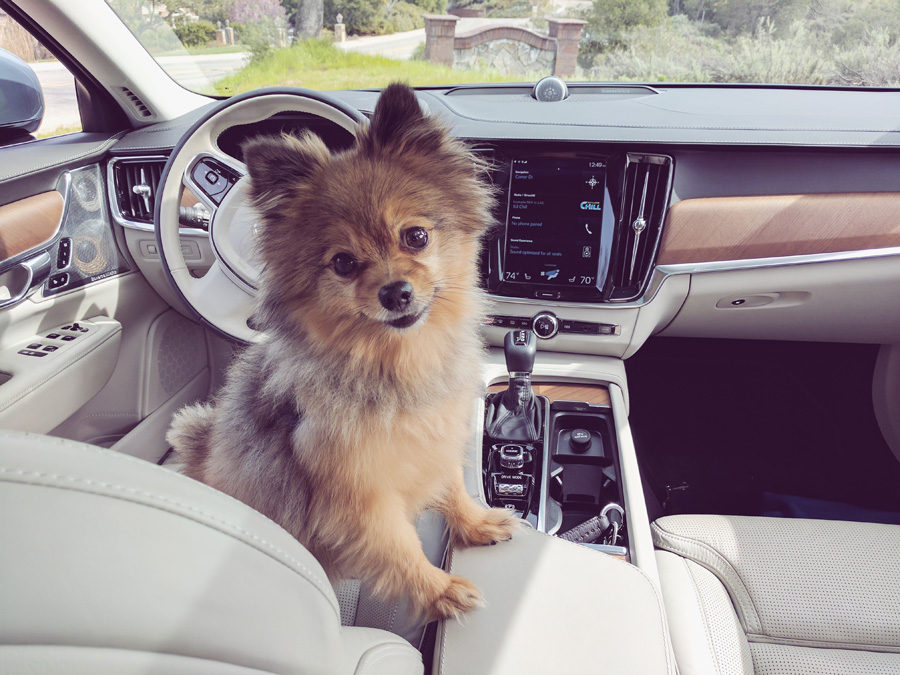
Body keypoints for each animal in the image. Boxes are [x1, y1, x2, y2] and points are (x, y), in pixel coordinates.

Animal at [168, 82, 516, 620]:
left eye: (416, 236)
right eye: (344, 263)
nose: (395, 292)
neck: (395, 363)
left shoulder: (437, 438)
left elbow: (453, 486)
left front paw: (475, 524)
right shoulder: (359, 495)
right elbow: (400, 547)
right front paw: (438, 591)